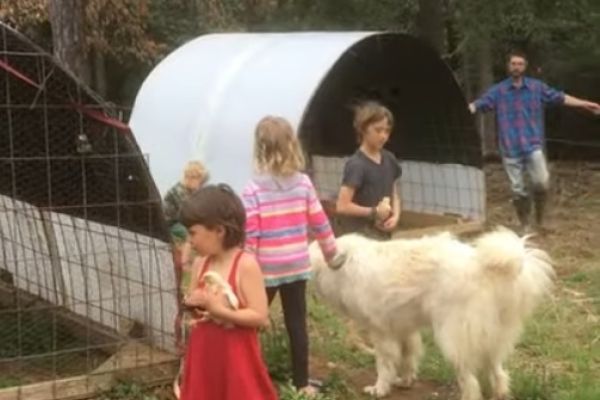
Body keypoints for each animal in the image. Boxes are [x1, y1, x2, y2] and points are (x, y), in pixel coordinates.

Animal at [309, 228, 554, 400]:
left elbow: (385, 365)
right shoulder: (404, 328)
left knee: (470, 381)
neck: (342, 265)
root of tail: (484, 267)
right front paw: (406, 381)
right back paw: (500, 393)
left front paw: (380, 388)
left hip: (453, 338)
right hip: (490, 338)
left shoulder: (382, 332)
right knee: (498, 371)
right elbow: (408, 357)